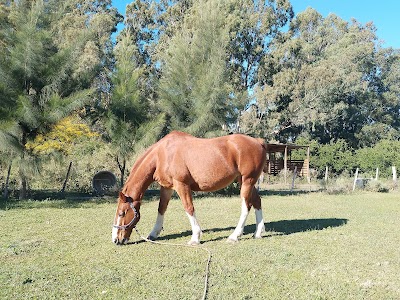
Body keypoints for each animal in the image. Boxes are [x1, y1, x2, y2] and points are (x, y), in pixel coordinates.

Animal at [112, 130, 268, 245]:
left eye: (122, 213)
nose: (116, 240)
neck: (162, 154)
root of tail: (258, 142)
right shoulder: (167, 187)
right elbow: (161, 208)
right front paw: (153, 234)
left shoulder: (181, 185)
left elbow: (189, 208)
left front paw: (195, 238)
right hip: (245, 181)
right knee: (257, 201)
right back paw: (258, 232)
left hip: (247, 181)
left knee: (246, 206)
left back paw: (234, 236)